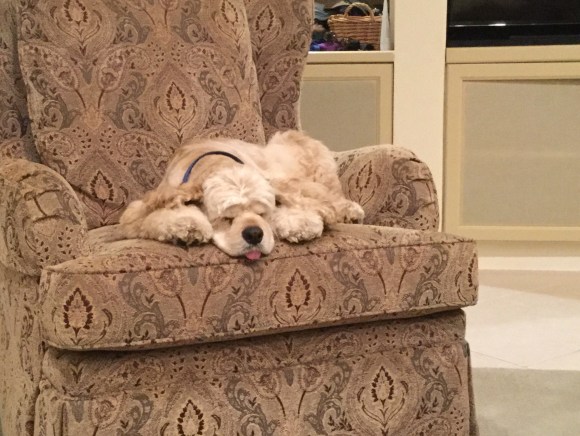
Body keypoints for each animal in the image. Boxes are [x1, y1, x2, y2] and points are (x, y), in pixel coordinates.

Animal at [119, 130, 364, 260]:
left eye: (263, 213)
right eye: (226, 218)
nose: (254, 234)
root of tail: (296, 134)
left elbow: (297, 205)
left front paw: (300, 224)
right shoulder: (139, 211)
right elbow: (159, 217)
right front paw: (187, 225)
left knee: (329, 195)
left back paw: (351, 211)